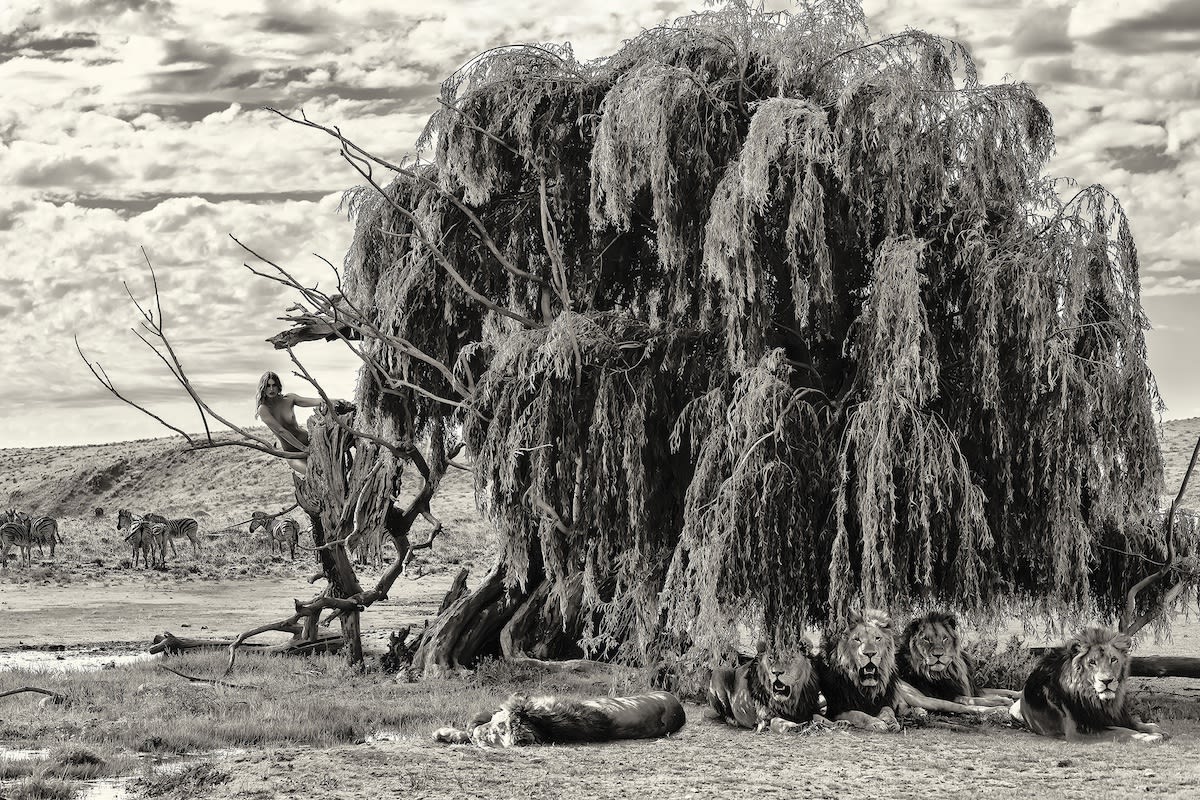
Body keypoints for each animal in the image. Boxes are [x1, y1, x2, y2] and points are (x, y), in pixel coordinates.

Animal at [1011, 626, 1166, 743]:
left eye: (1113, 659)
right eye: (1092, 662)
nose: (1106, 681)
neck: (1098, 701)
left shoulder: (1118, 718)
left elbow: (1140, 725)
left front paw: (1157, 730)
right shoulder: (1078, 731)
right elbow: (1121, 731)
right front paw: (1148, 737)